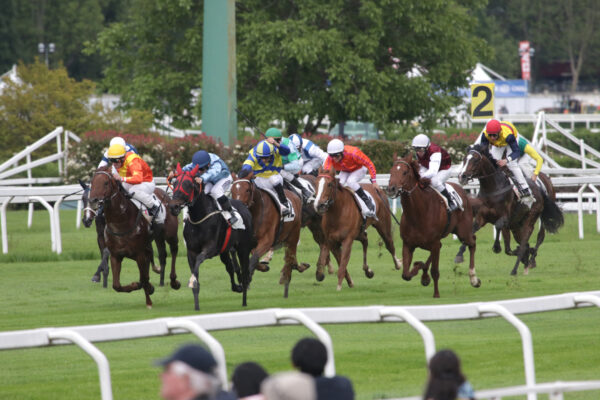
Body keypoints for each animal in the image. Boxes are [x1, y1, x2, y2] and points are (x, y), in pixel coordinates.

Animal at [87, 164, 180, 308]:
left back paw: (174, 281)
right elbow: (117, 285)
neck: (120, 221)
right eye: (92, 182)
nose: (93, 201)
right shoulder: (116, 255)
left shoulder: (139, 253)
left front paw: (149, 298)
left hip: (170, 235)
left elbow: (143, 279)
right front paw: (141, 287)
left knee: (174, 250)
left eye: (106, 182)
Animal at [169, 164, 255, 308]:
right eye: (174, 183)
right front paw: (196, 306)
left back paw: (244, 301)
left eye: (188, 184)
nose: (173, 206)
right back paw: (236, 287)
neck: (199, 218)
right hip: (225, 250)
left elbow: (199, 259)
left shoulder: (210, 248)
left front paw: (192, 281)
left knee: (244, 274)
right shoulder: (191, 251)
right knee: (229, 267)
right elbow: (195, 271)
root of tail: (244, 206)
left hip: (243, 248)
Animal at [231, 170, 310, 298]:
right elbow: (253, 259)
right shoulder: (250, 243)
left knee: (291, 256)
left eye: (247, 190)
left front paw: (247, 279)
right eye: (232, 190)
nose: (238, 208)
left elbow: (254, 259)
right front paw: (262, 267)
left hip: (293, 235)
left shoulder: (267, 241)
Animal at [386, 153, 480, 296]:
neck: (417, 214)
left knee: (472, 242)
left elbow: (435, 271)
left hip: (463, 231)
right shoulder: (408, 244)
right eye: (391, 172)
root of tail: (463, 191)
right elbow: (406, 274)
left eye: (405, 172)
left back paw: (474, 279)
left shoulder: (433, 243)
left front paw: (436, 294)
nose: (391, 189)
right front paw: (422, 273)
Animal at [458, 144, 564, 276]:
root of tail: (540, 190)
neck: (493, 189)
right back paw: (527, 258)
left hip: (530, 220)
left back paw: (517, 268)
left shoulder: (505, 218)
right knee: (521, 245)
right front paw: (459, 255)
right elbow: (472, 230)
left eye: (476, 160)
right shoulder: (482, 217)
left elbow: (498, 227)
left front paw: (497, 247)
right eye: (464, 159)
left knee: (531, 240)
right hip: (516, 226)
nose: (462, 176)